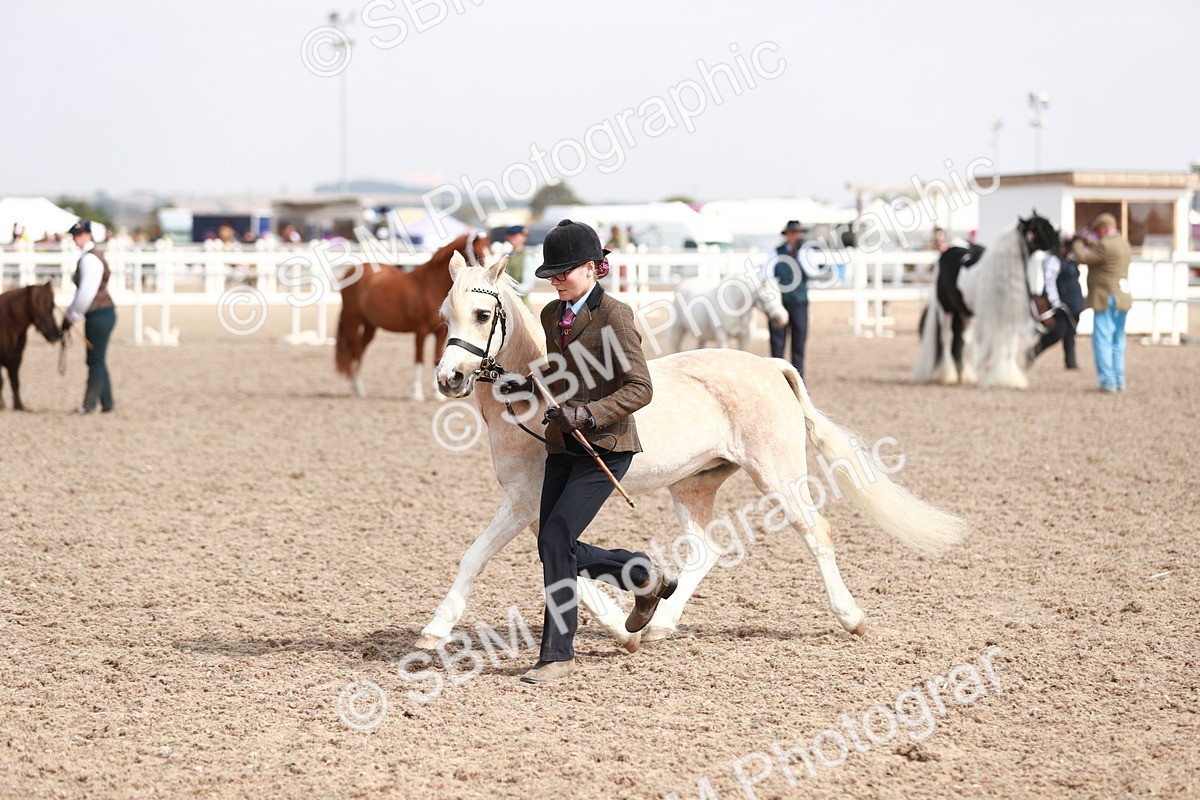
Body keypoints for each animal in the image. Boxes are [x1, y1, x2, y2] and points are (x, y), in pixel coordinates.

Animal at [0, 282, 63, 411]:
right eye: (35, 305)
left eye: (52, 305)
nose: (55, 335)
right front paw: (2, 405)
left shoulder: (16, 359)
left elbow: (15, 382)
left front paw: (19, 406)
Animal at [335, 230, 490, 400]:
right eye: (477, 253)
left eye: (491, 250)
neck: (431, 286)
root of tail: (350, 272)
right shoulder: (420, 332)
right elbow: (419, 359)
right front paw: (416, 393)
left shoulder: (441, 334)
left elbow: (436, 358)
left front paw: (437, 394)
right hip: (353, 321)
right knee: (355, 351)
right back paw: (359, 389)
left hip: (370, 326)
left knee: (360, 350)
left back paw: (357, 389)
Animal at [416, 251, 967, 654]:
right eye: (444, 316)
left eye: (482, 314)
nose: (449, 379)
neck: (535, 398)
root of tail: (772, 365)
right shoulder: (535, 503)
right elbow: (566, 560)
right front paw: (624, 625)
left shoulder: (524, 500)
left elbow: (478, 555)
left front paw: (434, 630)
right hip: (693, 484)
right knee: (706, 551)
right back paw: (661, 623)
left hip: (777, 475)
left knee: (816, 532)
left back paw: (852, 618)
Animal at [913, 212, 1059, 389]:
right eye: (1040, 228)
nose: (1061, 246)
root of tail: (947, 252)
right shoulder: (998, 318)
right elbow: (1000, 346)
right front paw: (999, 377)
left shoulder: (1010, 317)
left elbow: (1010, 347)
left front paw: (1011, 379)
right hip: (945, 310)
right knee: (946, 339)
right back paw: (948, 375)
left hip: (967, 314)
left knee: (964, 340)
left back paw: (964, 375)